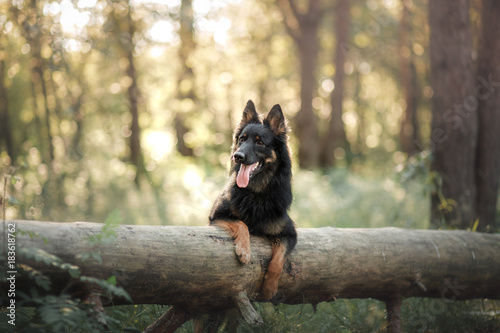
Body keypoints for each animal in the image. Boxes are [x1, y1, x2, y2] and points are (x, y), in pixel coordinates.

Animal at [208, 100, 296, 300]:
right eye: (242, 139)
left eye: (260, 142)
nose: (237, 156)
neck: (255, 194)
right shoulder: (216, 217)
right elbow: (242, 224)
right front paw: (244, 251)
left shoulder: (290, 234)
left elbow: (279, 258)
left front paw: (269, 288)